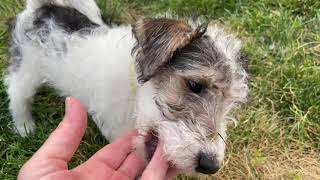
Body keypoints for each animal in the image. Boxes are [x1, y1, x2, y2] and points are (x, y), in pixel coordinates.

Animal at [5, 0, 250, 175]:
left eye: (232, 104)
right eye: (195, 85)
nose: (210, 166)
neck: (132, 88)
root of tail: (43, 8)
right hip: (27, 68)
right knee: (16, 92)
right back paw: (25, 125)